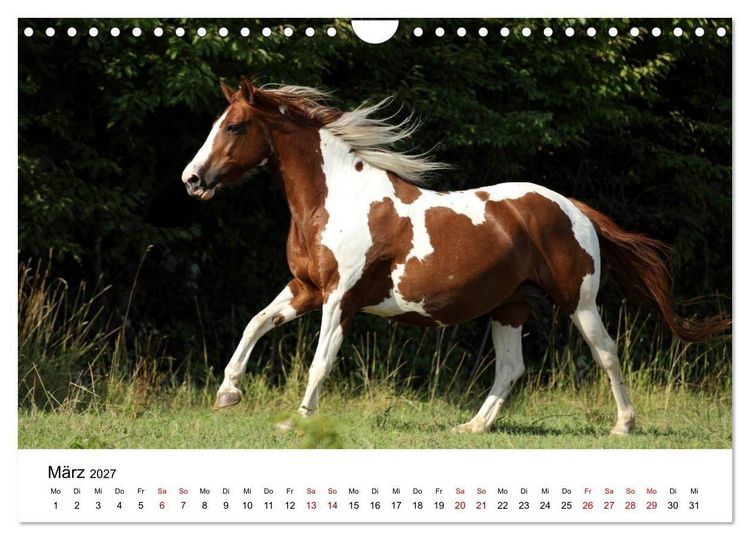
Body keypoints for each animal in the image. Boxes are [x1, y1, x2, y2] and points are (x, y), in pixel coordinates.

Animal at [181, 77, 728, 435]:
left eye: (234, 127)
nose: (191, 179)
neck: (333, 199)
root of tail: (573, 207)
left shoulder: (340, 298)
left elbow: (319, 361)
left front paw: (297, 420)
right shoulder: (305, 289)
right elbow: (255, 323)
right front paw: (227, 393)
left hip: (579, 302)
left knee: (606, 352)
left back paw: (624, 425)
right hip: (510, 306)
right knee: (511, 369)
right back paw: (471, 427)